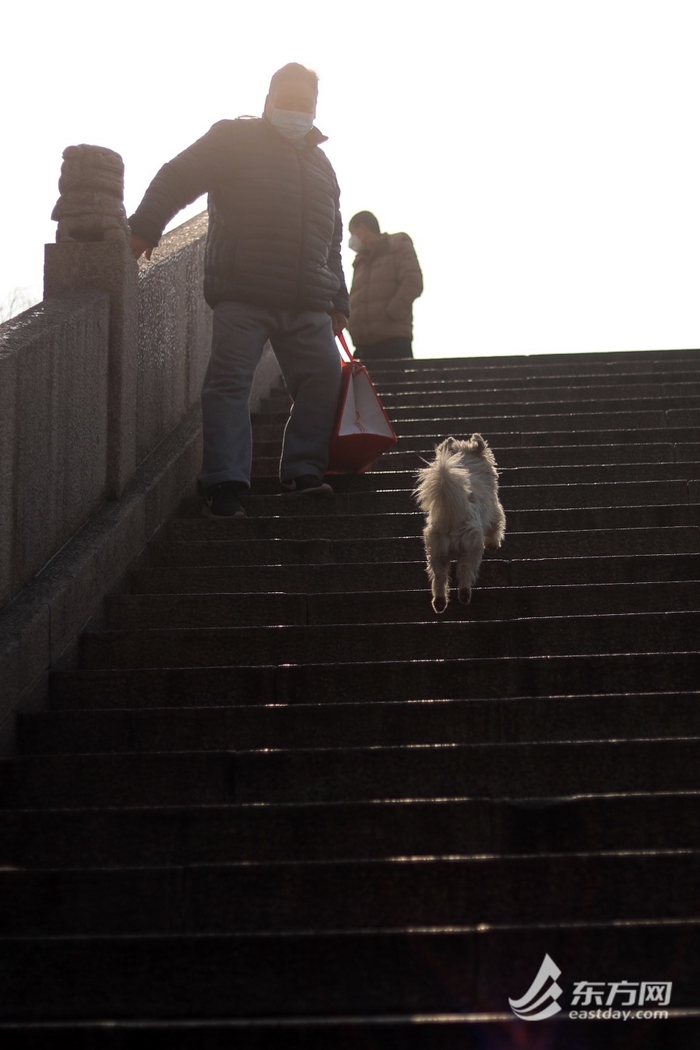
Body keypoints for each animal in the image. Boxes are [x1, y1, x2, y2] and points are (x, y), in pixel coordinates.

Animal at [413, 434, 506, 613]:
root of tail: (451, 520)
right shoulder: (494, 510)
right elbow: (497, 525)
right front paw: (494, 542)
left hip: (437, 552)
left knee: (439, 577)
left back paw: (440, 602)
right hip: (471, 548)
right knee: (465, 571)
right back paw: (464, 594)